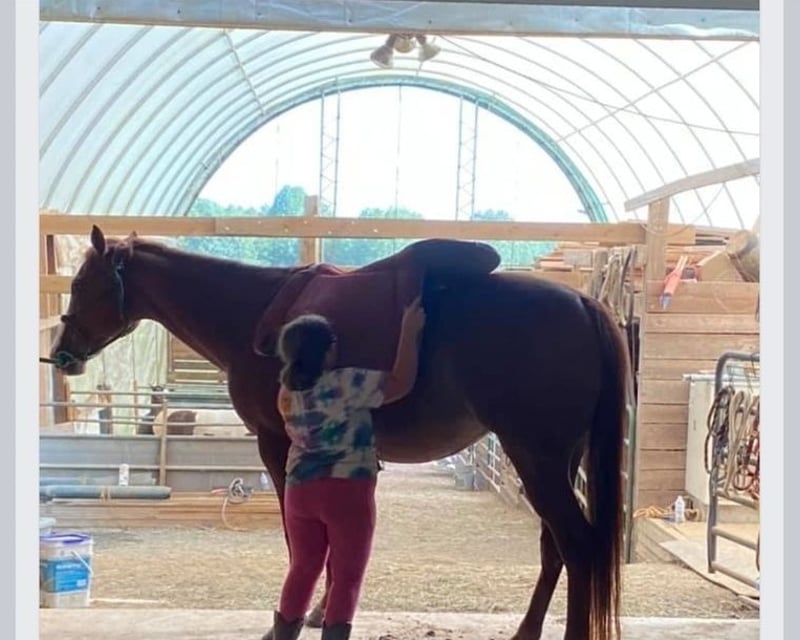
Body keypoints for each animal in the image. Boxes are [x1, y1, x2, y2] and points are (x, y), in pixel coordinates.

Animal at [46, 225, 629, 640]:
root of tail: (585, 303)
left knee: (576, 546)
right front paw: (321, 608)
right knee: (555, 547)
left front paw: (300, 613)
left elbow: (300, 537)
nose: (61, 354)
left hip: (537, 458)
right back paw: (526, 632)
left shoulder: (277, 445)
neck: (253, 314)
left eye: (80, 284)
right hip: (554, 461)